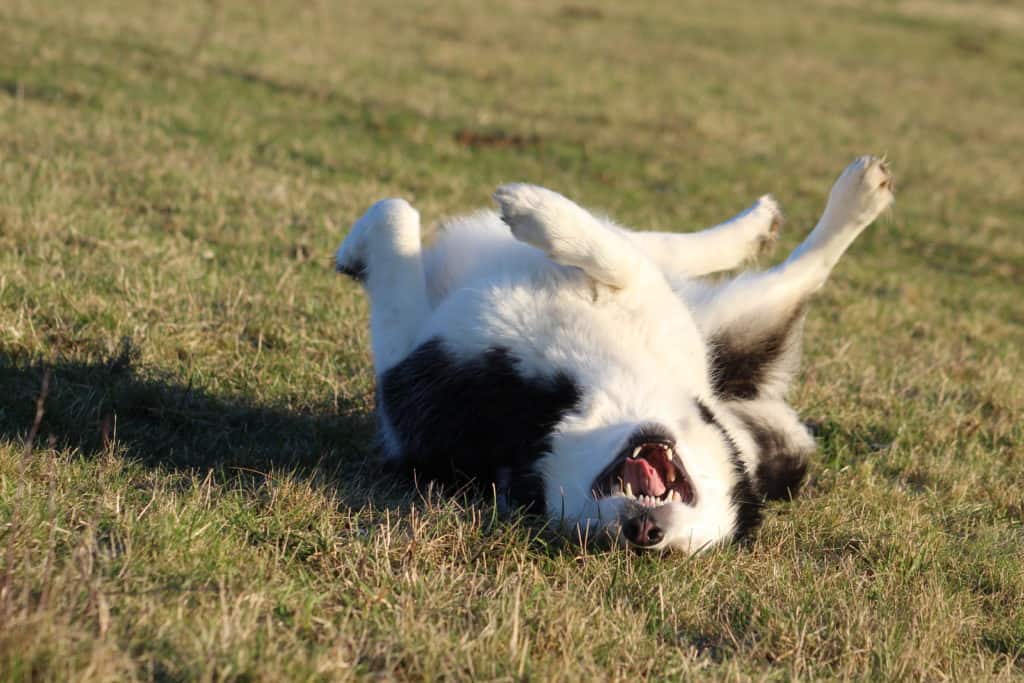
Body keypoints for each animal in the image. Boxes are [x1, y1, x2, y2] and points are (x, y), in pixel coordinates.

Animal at [333, 154, 888, 548]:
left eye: (687, 546)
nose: (645, 535)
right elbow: (625, 252)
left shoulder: (407, 372)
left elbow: (396, 221)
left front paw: (537, 213)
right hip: (724, 319)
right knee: (710, 254)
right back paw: (793, 214)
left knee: (797, 269)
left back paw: (848, 202)